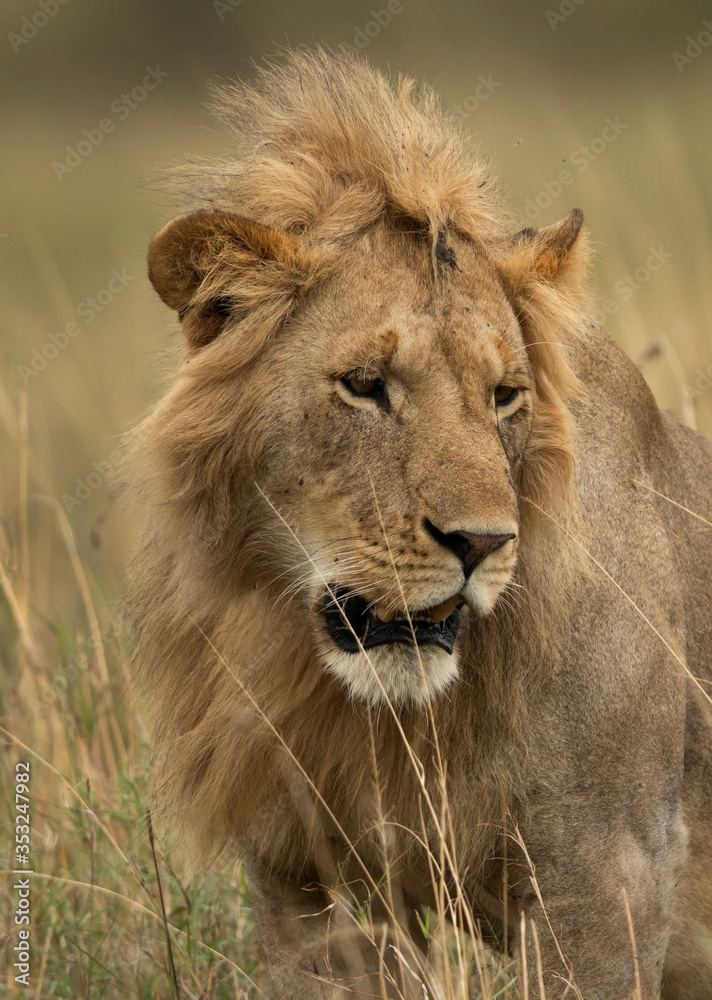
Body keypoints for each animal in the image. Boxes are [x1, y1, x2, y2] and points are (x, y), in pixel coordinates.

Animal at [128, 47, 712, 1000]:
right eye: (365, 385)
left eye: (505, 395)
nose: (482, 544)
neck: (384, 717)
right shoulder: (304, 888)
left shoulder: (608, 874)